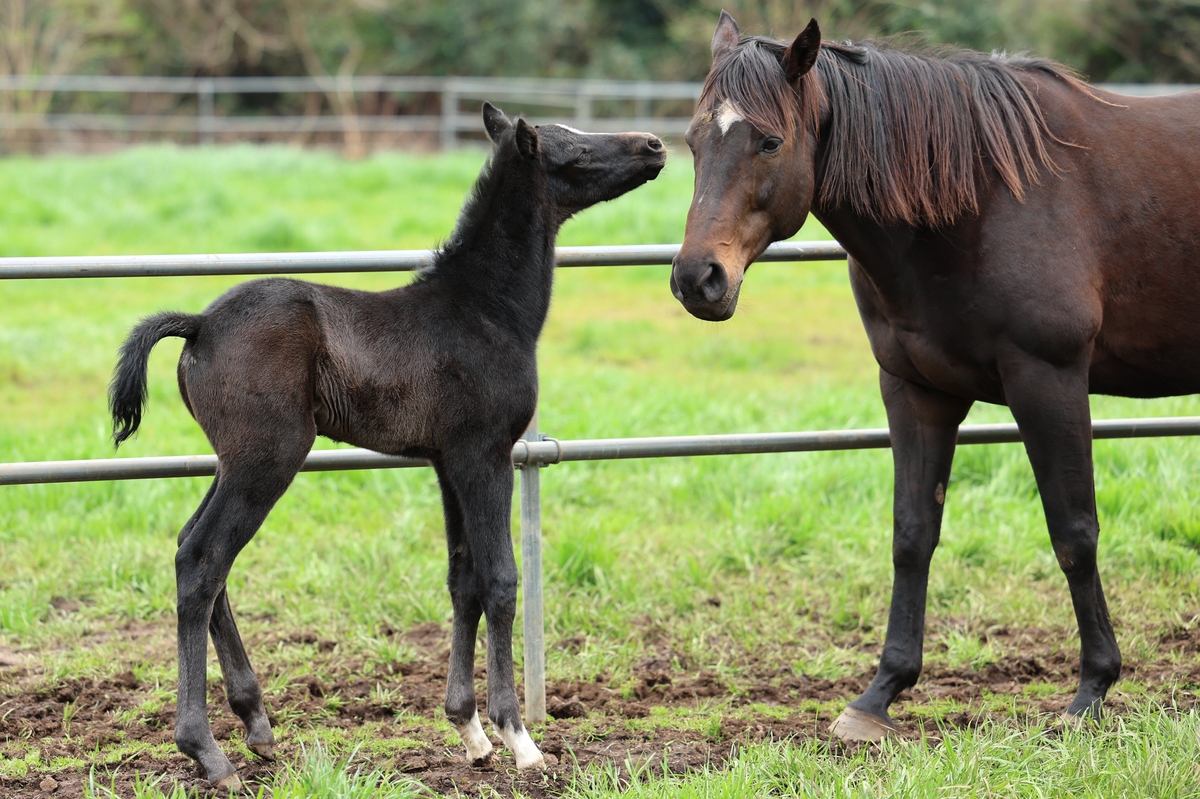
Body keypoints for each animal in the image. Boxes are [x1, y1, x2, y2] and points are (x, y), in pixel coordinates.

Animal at [109, 102, 667, 787]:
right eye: (574, 149)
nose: (654, 144)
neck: (485, 309)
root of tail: (201, 325)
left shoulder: (447, 463)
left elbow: (463, 580)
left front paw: (469, 732)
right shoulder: (485, 456)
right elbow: (501, 580)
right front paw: (518, 737)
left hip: (233, 461)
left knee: (197, 552)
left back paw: (258, 726)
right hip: (267, 459)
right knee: (202, 560)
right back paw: (209, 753)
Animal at [672, 10, 1200, 739]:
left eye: (770, 141)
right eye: (692, 141)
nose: (698, 279)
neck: (982, 200)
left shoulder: (1049, 380)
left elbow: (1074, 531)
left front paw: (1091, 690)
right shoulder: (916, 390)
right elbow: (912, 534)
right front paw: (879, 695)